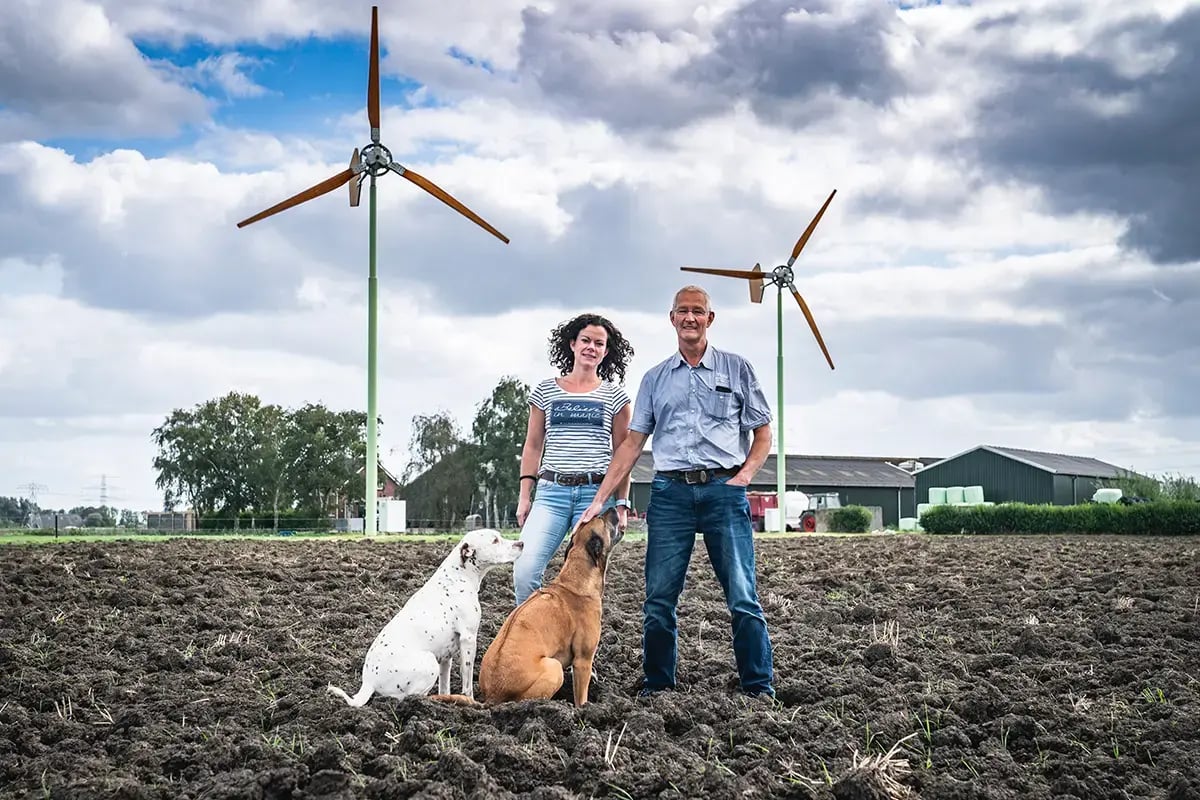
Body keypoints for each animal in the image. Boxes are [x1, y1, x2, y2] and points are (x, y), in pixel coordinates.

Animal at [328, 532, 520, 705]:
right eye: (495, 540)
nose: (521, 543)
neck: (458, 577)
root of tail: (368, 683)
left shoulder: (446, 656)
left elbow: (445, 685)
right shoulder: (468, 639)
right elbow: (467, 682)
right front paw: (471, 702)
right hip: (429, 662)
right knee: (407, 698)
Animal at [472, 506, 624, 705]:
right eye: (601, 518)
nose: (613, 508)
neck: (576, 579)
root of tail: (492, 696)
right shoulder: (583, 660)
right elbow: (581, 697)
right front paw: (584, 709)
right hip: (554, 667)